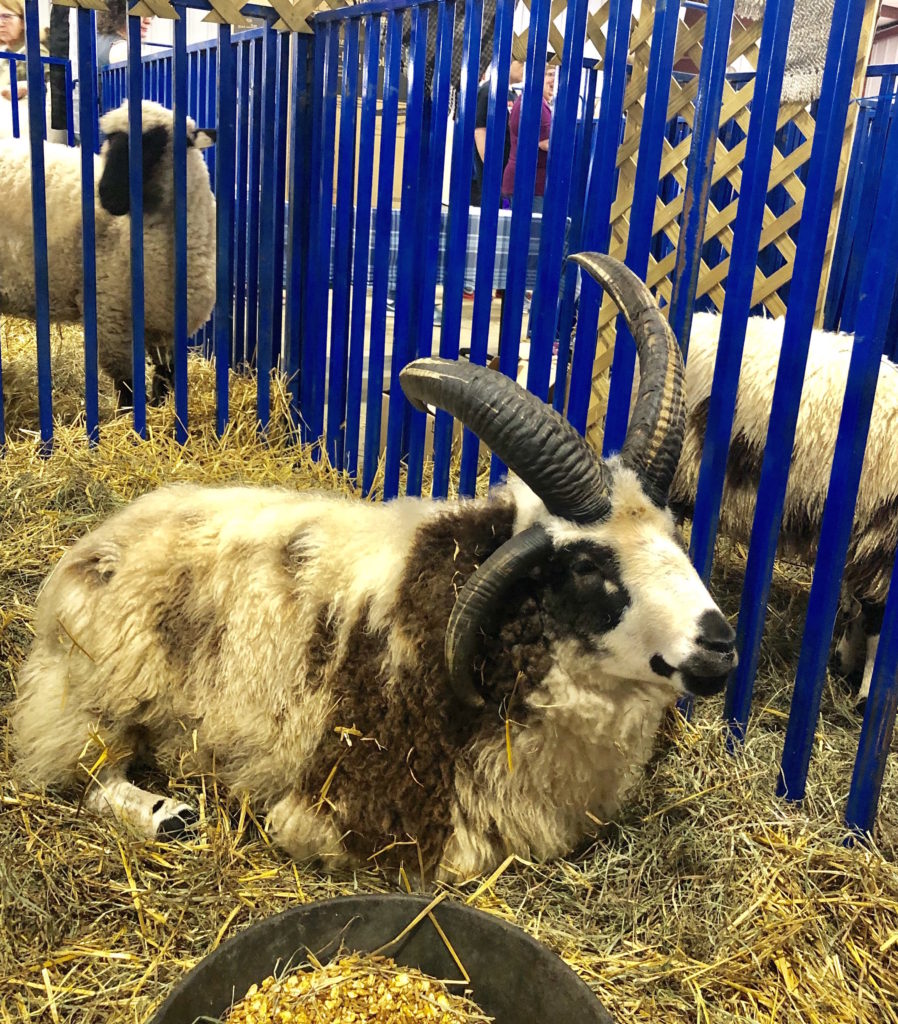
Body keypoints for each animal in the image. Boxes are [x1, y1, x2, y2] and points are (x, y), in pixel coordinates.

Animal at [0, 99, 216, 407]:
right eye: (111, 141)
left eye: (152, 143)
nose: (107, 196)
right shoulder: (111, 319)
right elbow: (127, 385)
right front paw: (131, 414)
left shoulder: (167, 326)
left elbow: (165, 375)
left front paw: (161, 408)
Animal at [8, 253, 737, 880]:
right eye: (586, 564)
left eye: (673, 531)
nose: (720, 645)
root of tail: (84, 551)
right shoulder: (348, 809)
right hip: (95, 696)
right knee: (81, 775)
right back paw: (168, 814)